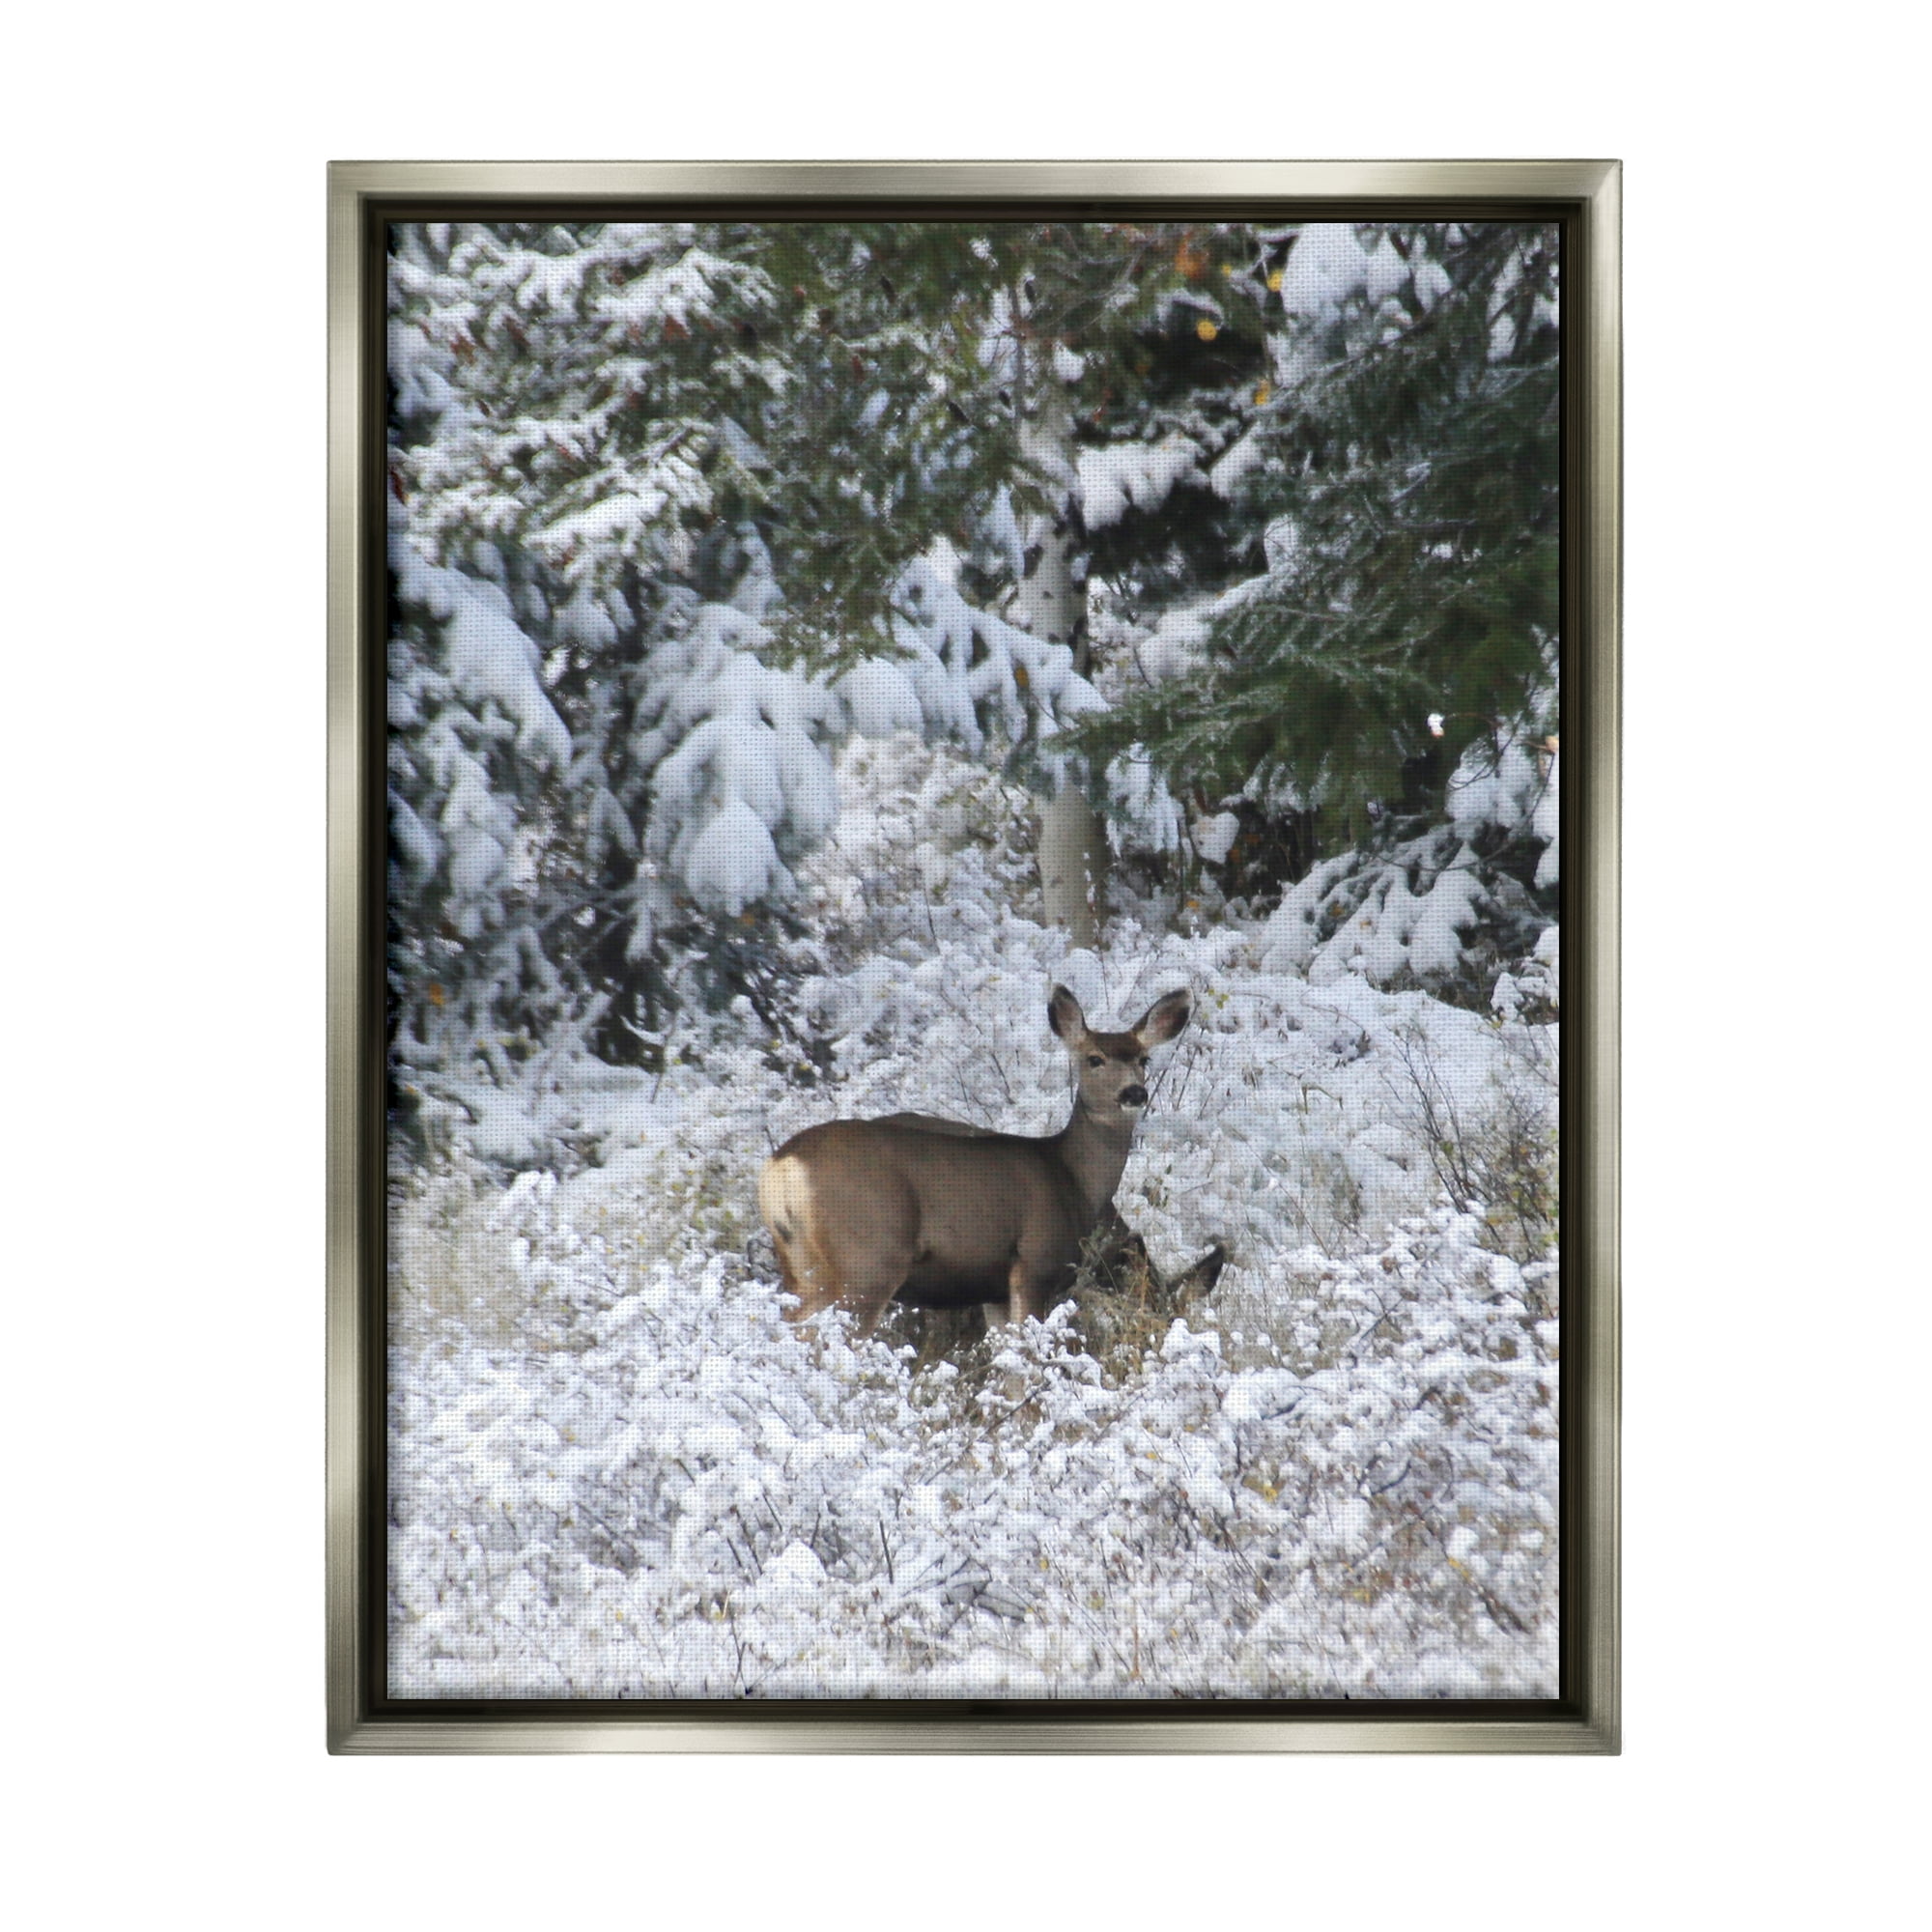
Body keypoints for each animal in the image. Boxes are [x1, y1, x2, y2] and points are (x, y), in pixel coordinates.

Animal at [758, 984, 1193, 1336]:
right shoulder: (1034, 1261)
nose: (1134, 1094)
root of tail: (784, 1165)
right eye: (1094, 1058)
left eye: (1144, 1059)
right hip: (869, 1255)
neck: (1074, 1180)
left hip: (799, 1262)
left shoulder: (993, 1290)